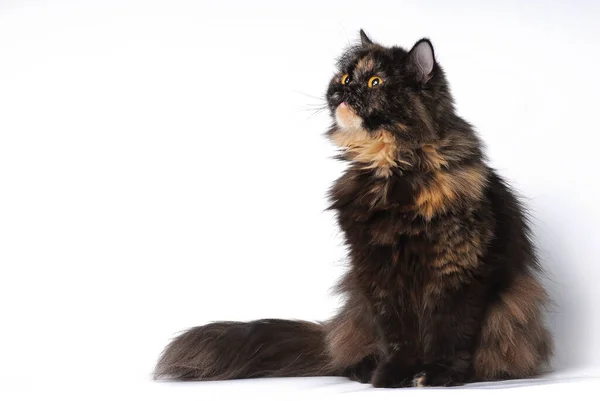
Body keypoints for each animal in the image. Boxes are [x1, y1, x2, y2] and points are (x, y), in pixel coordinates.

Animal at [155, 29, 552, 386]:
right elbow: (398, 336)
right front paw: (392, 376)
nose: (345, 90)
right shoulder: (378, 272)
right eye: (346, 77)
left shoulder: (457, 269)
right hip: (359, 308)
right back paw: (365, 368)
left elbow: (450, 332)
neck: (392, 170)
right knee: (348, 357)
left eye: (375, 81)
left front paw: (439, 375)